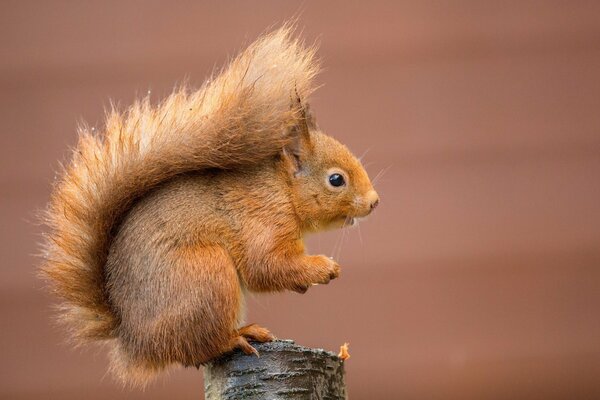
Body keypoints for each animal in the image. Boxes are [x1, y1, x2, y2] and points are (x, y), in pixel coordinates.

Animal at [41, 26, 380, 386]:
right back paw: (240, 336)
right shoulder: (263, 220)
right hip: (207, 275)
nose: (374, 202)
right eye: (336, 179)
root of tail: (135, 342)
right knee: (202, 347)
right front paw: (324, 267)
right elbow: (266, 266)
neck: (282, 191)